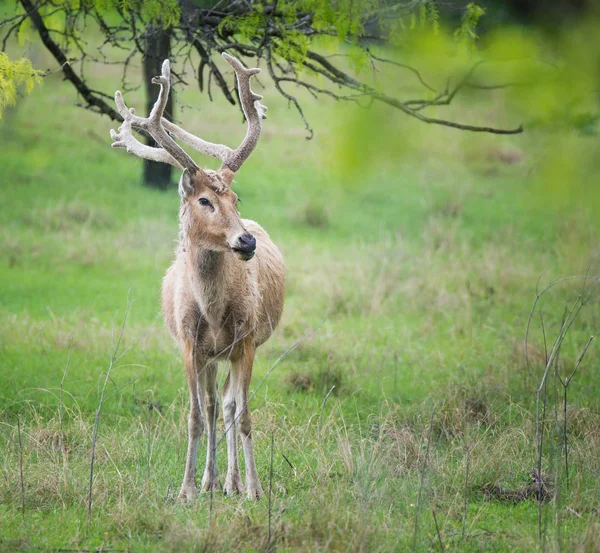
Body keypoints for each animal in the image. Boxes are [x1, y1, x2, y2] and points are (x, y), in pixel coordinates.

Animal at [108, 55, 286, 500]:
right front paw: (186, 489)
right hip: (208, 356)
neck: (214, 311)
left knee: (227, 405)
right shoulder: (189, 344)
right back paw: (211, 481)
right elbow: (193, 415)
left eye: (235, 198)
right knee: (211, 405)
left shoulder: (246, 340)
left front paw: (254, 489)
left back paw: (231, 482)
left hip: (232, 351)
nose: (246, 241)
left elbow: (244, 415)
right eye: (204, 200)